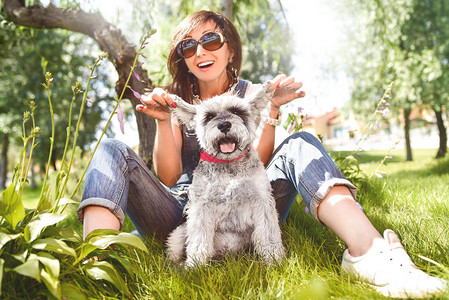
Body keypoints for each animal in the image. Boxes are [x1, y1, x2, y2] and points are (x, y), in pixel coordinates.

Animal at [166, 81, 286, 266]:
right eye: (209, 116)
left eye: (236, 111)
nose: (224, 125)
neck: (229, 165)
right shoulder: (202, 206)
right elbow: (199, 239)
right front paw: (195, 265)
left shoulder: (262, 200)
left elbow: (268, 233)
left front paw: (274, 259)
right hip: (178, 234)